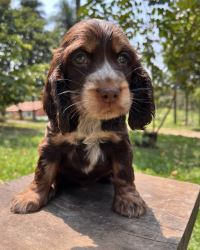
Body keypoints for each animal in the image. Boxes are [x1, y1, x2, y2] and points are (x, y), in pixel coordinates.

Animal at [10, 18, 155, 218]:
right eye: (80, 58)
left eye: (123, 58)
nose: (110, 93)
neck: (89, 117)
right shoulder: (51, 143)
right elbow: (43, 172)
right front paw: (29, 197)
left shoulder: (120, 142)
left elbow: (124, 172)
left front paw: (130, 200)